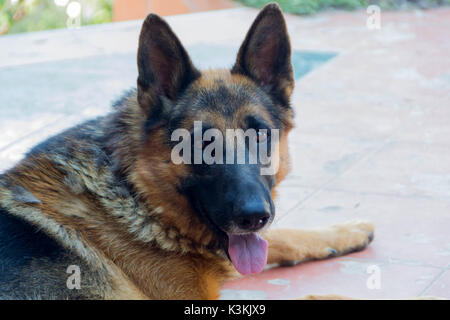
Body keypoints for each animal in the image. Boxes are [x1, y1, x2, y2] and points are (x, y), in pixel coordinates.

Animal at [0, 3, 374, 300]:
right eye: (200, 143)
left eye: (259, 134)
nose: (254, 215)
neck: (138, 195)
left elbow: (280, 236)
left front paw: (345, 231)